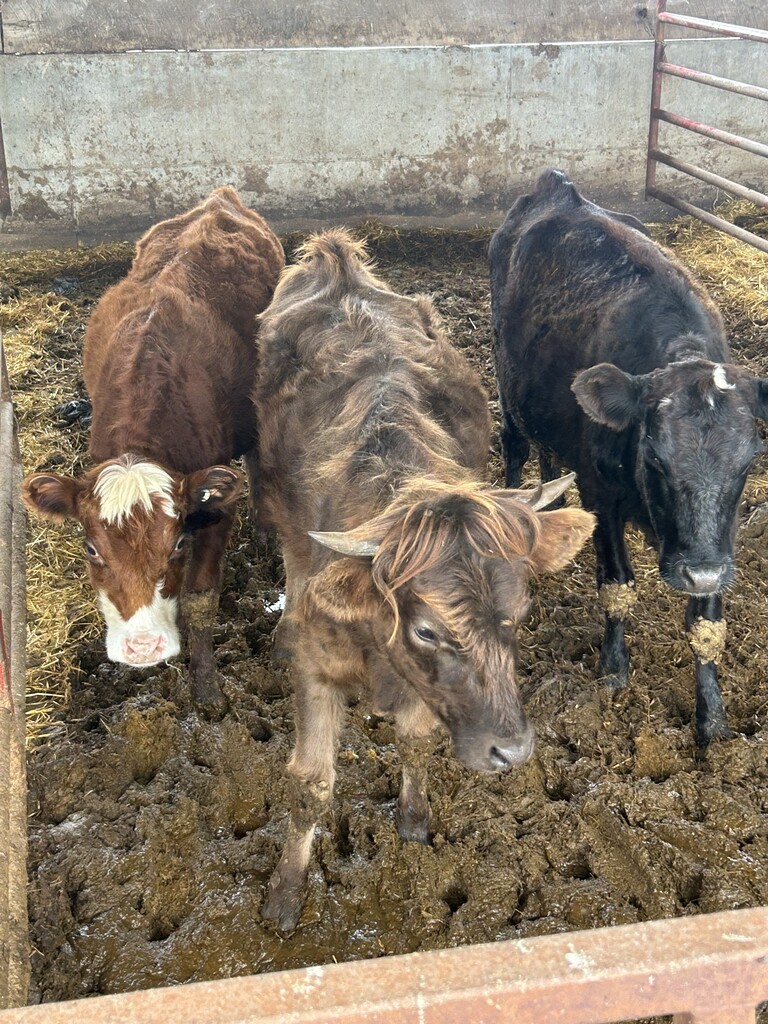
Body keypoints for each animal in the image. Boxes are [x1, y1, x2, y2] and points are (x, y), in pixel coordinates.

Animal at [22, 187, 285, 719]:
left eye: (179, 543)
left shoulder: (214, 508)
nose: (142, 648)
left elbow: (201, 600)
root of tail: (218, 200)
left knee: (256, 456)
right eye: (90, 547)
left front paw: (207, 692)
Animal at [254, 228, 595, 932]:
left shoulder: (421, 690)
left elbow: (414, 741)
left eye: (519, 614)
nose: (511, 753)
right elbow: (311, 783)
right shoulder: (317, 666)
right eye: (428, 630)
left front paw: (413, 822)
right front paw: (285, 893)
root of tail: (339, 263)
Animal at [489, 168, 768, 749]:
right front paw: (614, 671)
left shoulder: (716, 541)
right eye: (655, 459)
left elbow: (706, 627)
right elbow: (616, 587)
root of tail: (557, 185)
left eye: (749, 462)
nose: (700, 574)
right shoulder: (604, 498)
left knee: (548, 453)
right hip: (507, 386)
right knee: (517, 447)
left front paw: (712, 720)